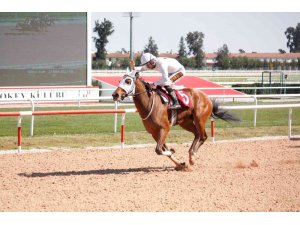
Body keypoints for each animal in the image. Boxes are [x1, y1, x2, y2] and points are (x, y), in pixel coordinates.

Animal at [111, 69, 240, 171]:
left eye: (128, 81)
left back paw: (192, 157)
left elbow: (158, 150)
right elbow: (163, 149)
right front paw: (181, 164)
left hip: (199, 119)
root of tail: (207, 97)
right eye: (119, 81)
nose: (115, 95)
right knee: (197, 134)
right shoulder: (154, 132)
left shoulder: (165, 128)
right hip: (186, 123)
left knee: (203, 136)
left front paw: (174, 153)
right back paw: (190, 155)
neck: (149, 103)